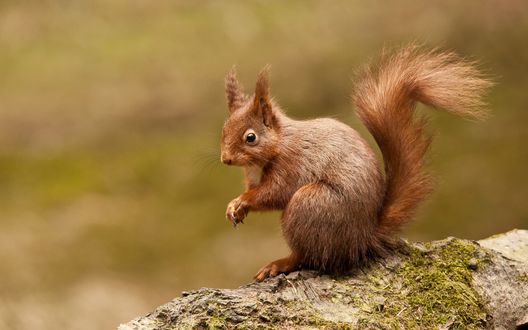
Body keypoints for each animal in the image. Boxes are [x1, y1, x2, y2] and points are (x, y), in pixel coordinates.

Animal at [219, 45, 490, 282]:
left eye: (251, 137)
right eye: (223, 130)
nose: (226, 159)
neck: (275, 146)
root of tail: (363, 239)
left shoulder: (291, 165)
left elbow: (273, 193)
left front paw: (242, 201)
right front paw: (235, 207)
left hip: (311, 205)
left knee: (307, 256)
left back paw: (280, 264)